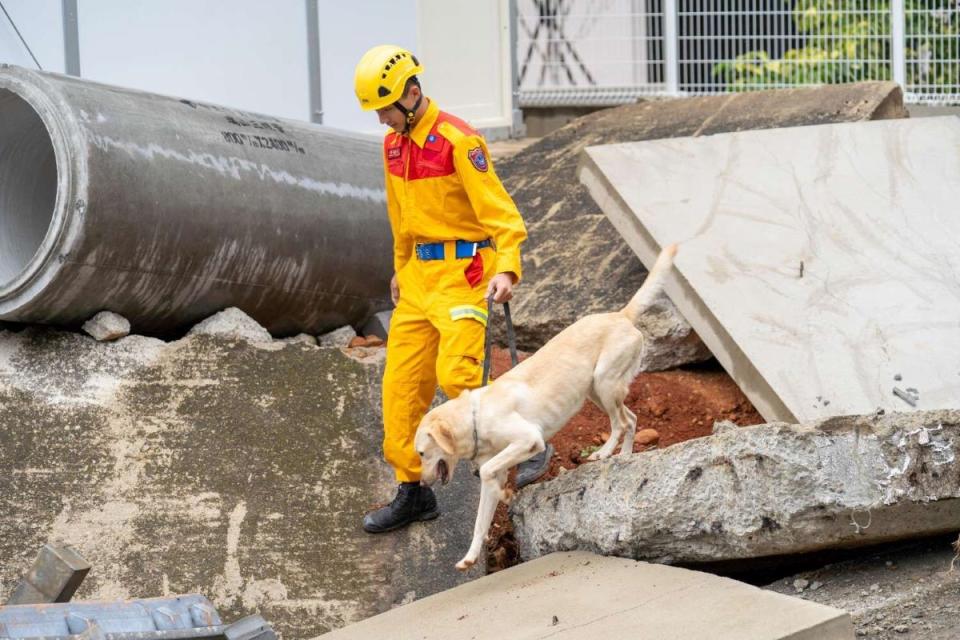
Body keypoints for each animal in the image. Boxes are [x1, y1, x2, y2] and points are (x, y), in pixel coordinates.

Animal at [416, 245, 680, 568]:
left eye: (422, 453)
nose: (422, 484)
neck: (475, 418)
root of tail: (620, 315)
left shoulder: (529, 439)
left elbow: (490, 469)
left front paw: (506, 496)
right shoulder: (496, 472)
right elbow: (480, 519)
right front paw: (470, 557)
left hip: (604, 384)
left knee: (623, 423)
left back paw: (606, 453)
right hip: (596, 391)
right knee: (631, 417)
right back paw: (624, 457)